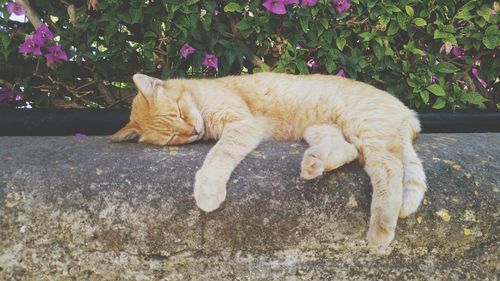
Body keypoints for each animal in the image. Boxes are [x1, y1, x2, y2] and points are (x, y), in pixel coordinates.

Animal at [112, 72, 426, 249]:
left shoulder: (241, 125)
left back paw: (381, 228)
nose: (193, 132)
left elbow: (218, 155)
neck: (199, 94)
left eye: (178, 112)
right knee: (347, 150)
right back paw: (314, 163)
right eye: (171, 138)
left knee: (389, 169)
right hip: (321, 128)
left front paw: (208, 190)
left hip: (365, 129)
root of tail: (407, 111)